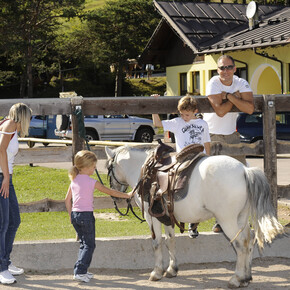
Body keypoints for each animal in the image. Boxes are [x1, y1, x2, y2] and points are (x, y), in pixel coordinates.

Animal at [105, 145, 284, 288]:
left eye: (109, 168)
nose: (114, 195)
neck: (144, 169)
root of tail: (245, 171)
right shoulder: (167, 217)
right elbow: (170, 241)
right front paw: (172, 269)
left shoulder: (153, 217)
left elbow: (157, 243)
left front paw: (156, 272)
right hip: (241, 218)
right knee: (250, 240)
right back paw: (246, 277)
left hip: (227, 220)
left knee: (240, 244)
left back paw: (236, 279)